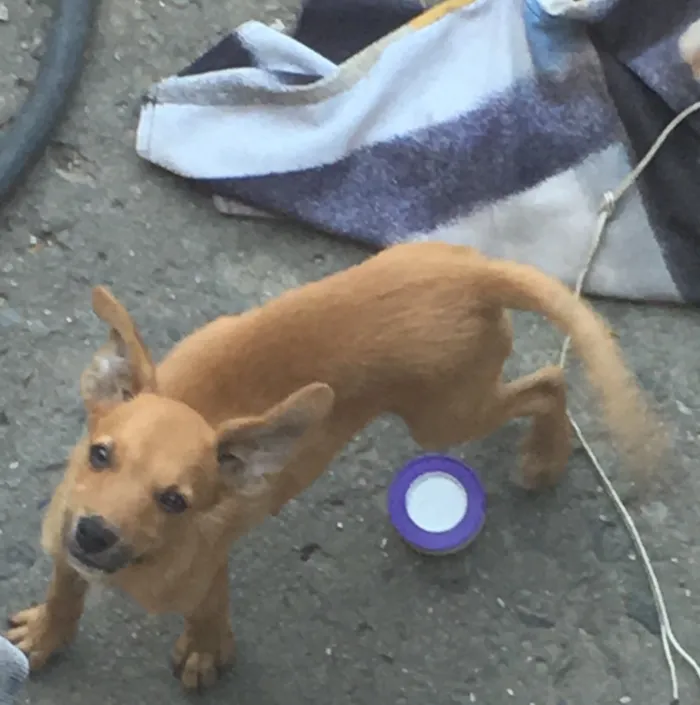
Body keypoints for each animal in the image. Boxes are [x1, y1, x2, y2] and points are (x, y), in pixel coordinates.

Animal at [4, 241, 660, 688]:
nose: (94, 532)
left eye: (173, 501)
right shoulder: (65, 541)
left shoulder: (204, 564)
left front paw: (206, 649)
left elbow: (210, 605)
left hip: (447, 416)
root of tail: (472, 271)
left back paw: (545, 455)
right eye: (100, 455)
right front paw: (48, 634)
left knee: (550, 383)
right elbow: (65, 589)